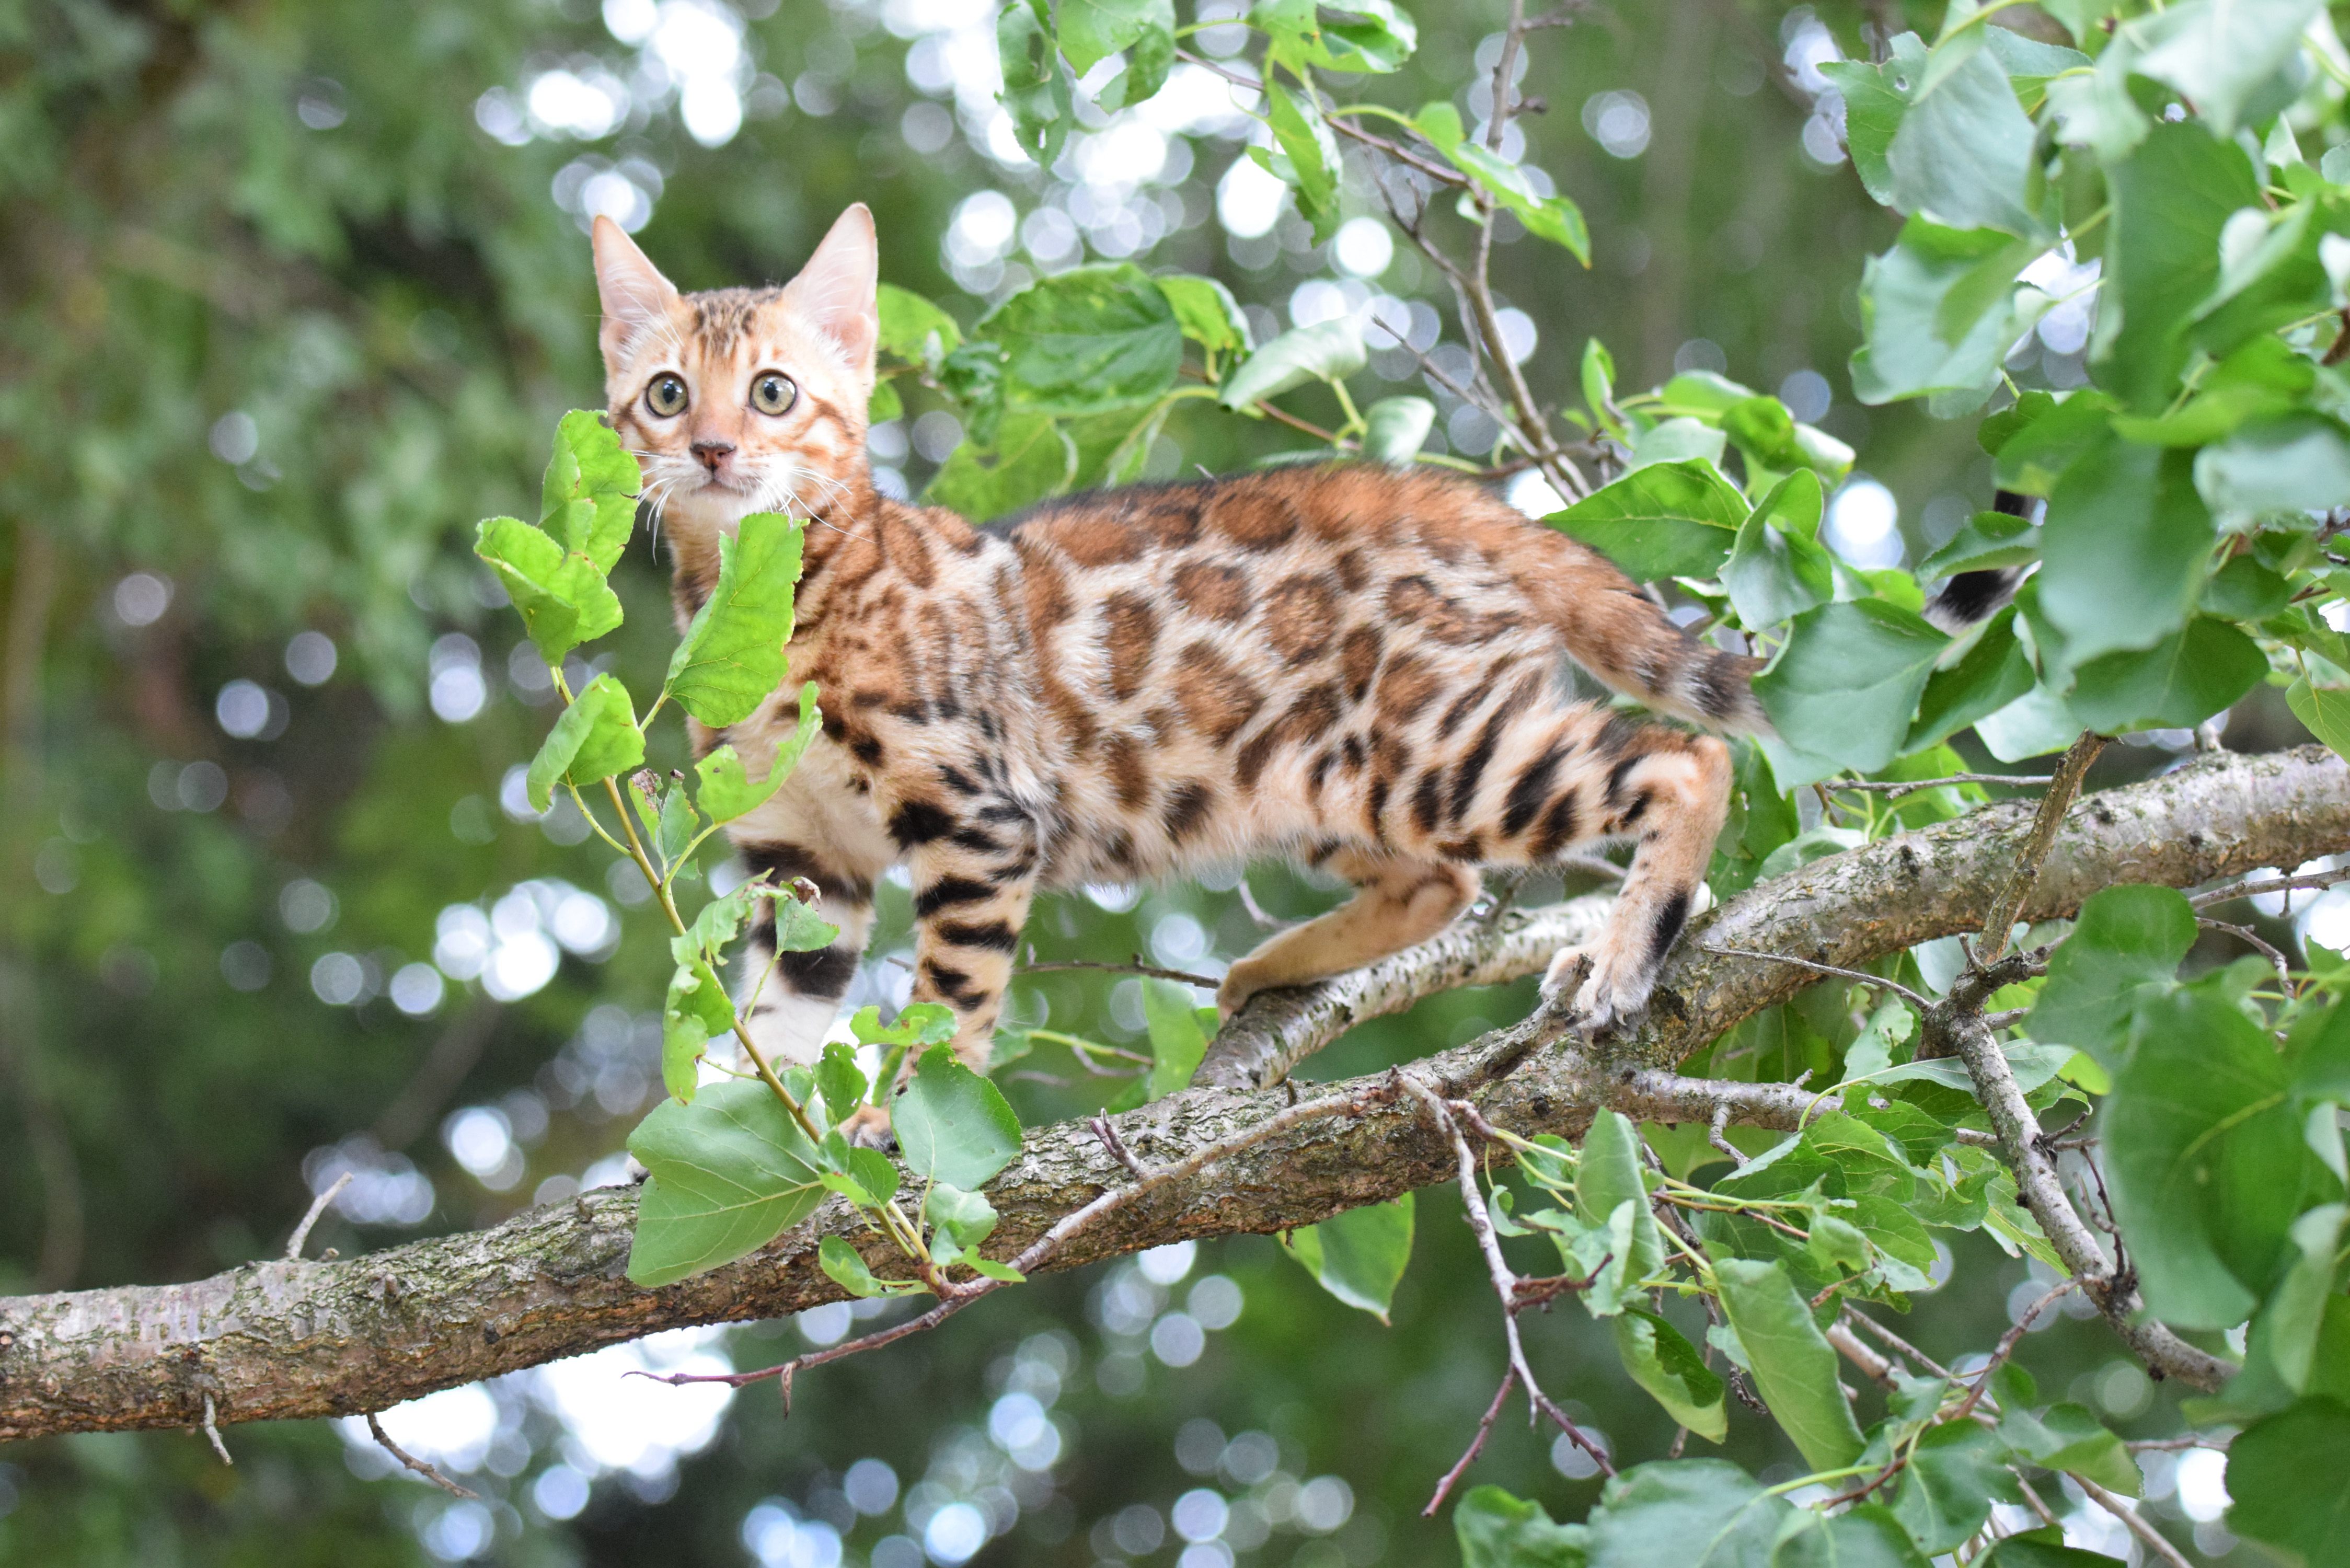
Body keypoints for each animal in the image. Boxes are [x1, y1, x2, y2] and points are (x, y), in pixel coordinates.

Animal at [588, 211, 1767, 1114]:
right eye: (666, 394)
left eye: (774, 393)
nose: (712, 450)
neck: (761, 602)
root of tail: (1433, 494)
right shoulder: (802, 862)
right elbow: (777, 1024)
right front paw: (750, 1151)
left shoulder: (978, 817)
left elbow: (949, 999)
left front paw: (903, 1123)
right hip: (1309, 783)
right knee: (1441, 880)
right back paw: (1277, 965)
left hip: (1433, 753)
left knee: (1685, 762)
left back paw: (1626, 953)